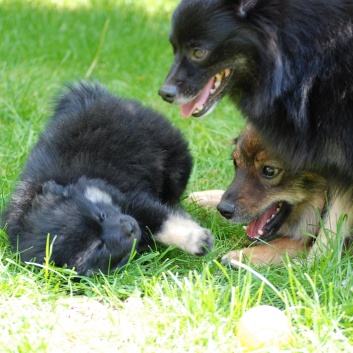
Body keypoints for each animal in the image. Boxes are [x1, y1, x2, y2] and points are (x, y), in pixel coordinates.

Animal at [2, 82, 213, 276]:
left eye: (101, 215)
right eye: (99, 246)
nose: (129, 228)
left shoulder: (130, 199)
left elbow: (162, 221)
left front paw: (196, 239)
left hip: (171, 155)